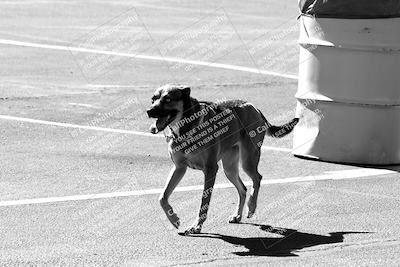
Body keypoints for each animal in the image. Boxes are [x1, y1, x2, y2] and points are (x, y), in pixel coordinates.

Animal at [146, 84, 296, 234]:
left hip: (248, 160)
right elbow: (162, 197)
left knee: (257, 178)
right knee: (243, 189)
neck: (186, 127)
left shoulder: (210, 169)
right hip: (229, 168)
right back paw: (237, 215)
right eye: (153, 99)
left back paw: (252, 206)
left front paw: (196, 226)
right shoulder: (179, 168)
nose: (149, 111)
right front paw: (174, 219)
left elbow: (204, 202)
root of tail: (254, 107)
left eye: (168, 99)